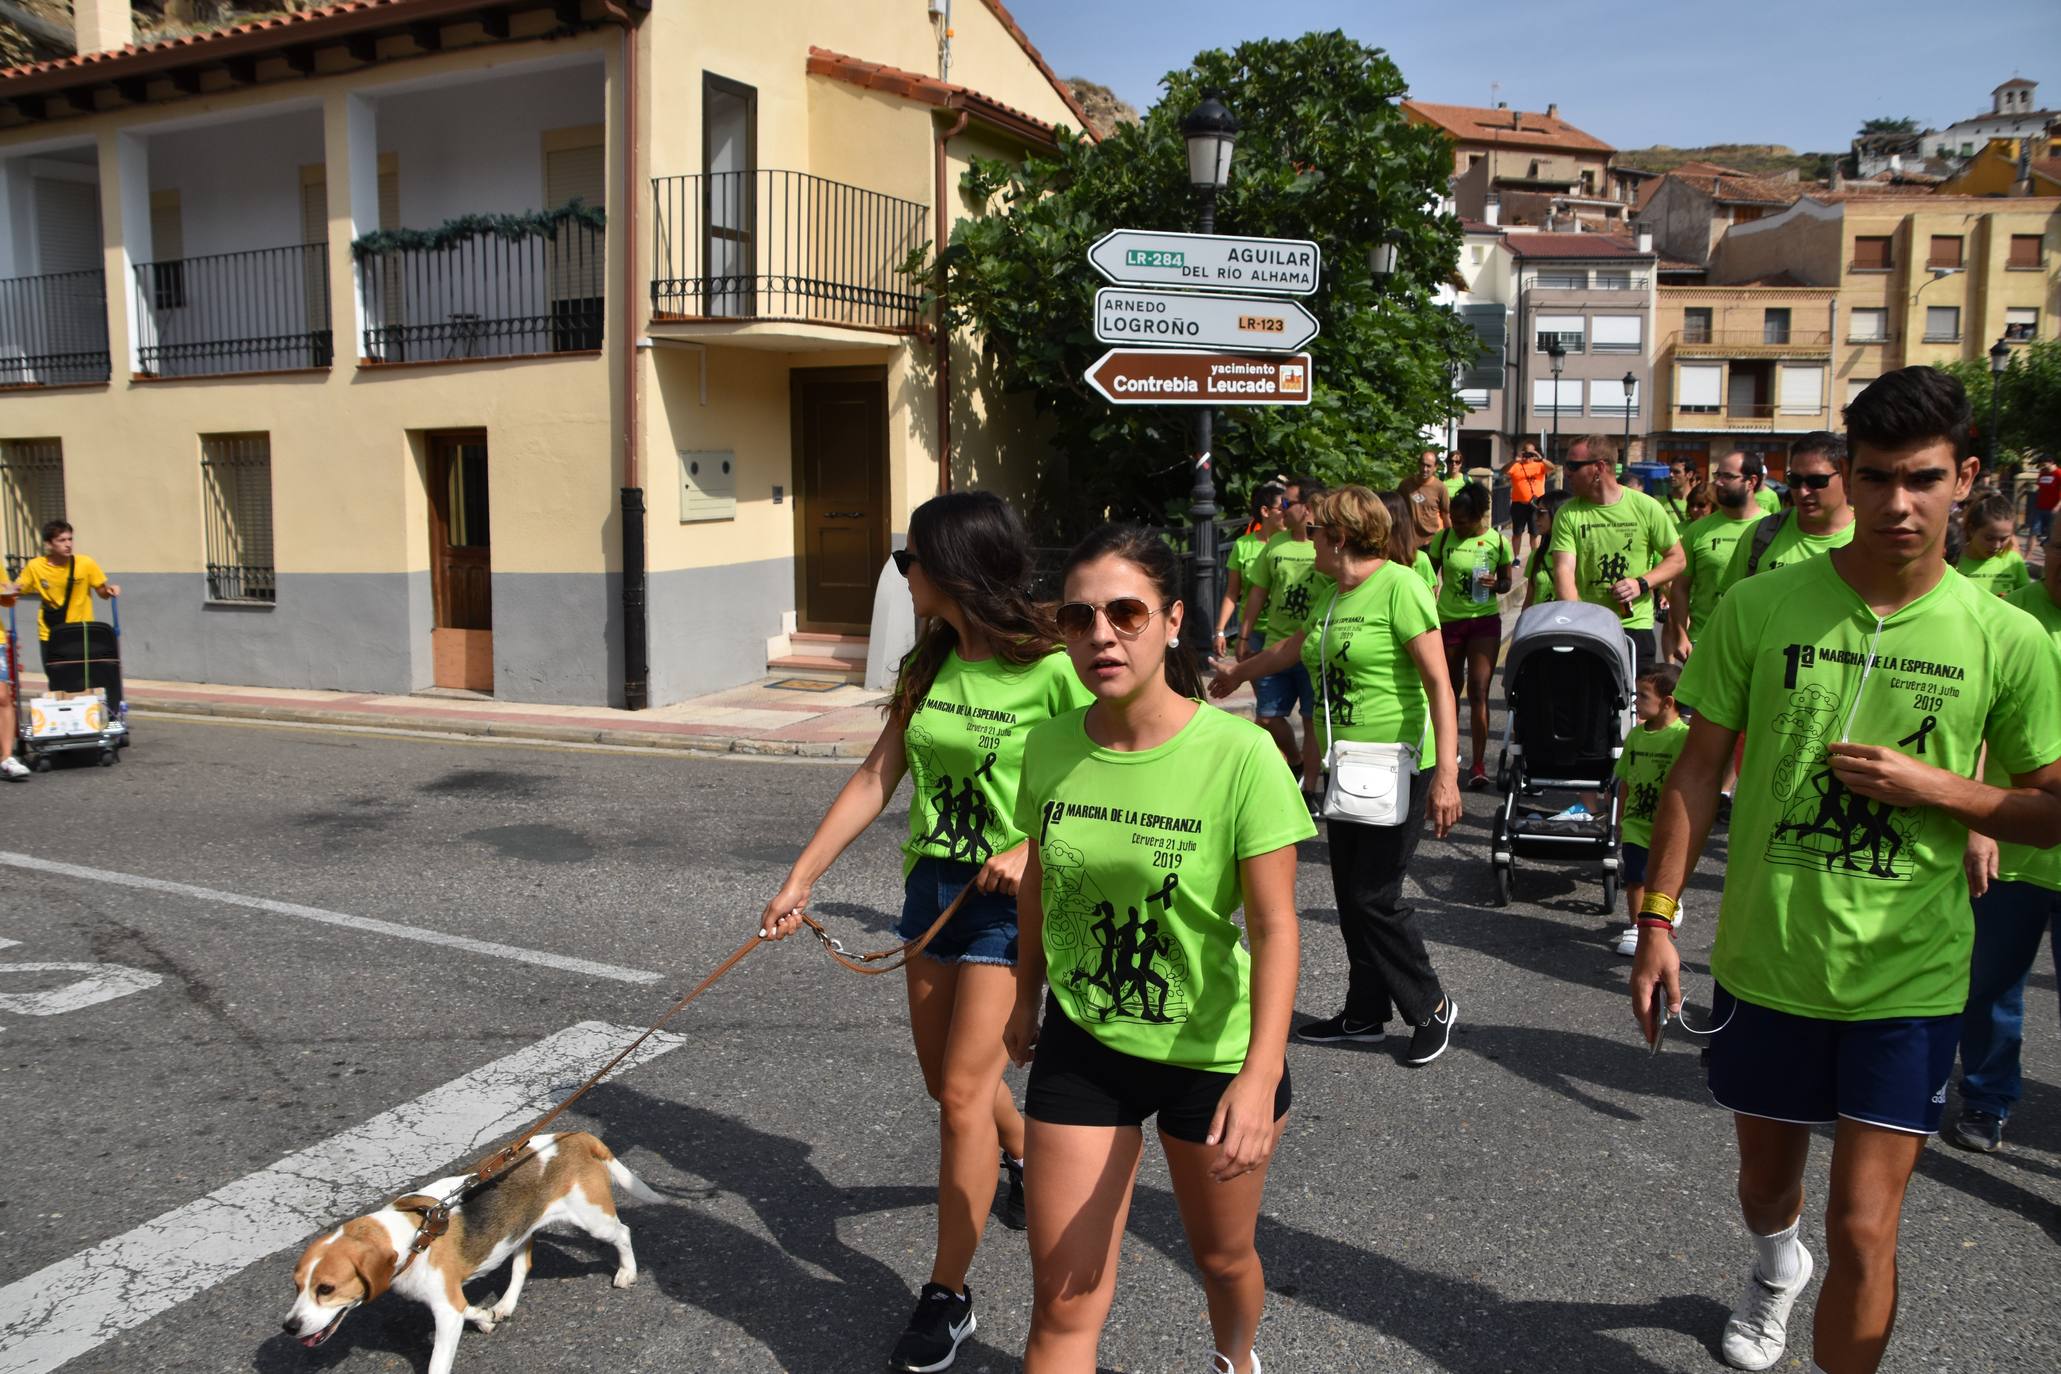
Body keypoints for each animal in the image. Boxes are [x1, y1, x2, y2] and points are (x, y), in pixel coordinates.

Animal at [282, 1128, 659, 1374]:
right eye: (297, 1286)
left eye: (326, 1288)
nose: (289, 1327)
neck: (411, 1237)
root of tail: (576, 1136)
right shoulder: (450, 1300)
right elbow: (467, 1309)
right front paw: (484, 1315)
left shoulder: (446, 1311)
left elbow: (439, 1358)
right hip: (519, 1231)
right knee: (522, 1266)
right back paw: (503, 1305)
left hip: (593, 1219)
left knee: (622, 1233)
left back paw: (627, 1271)